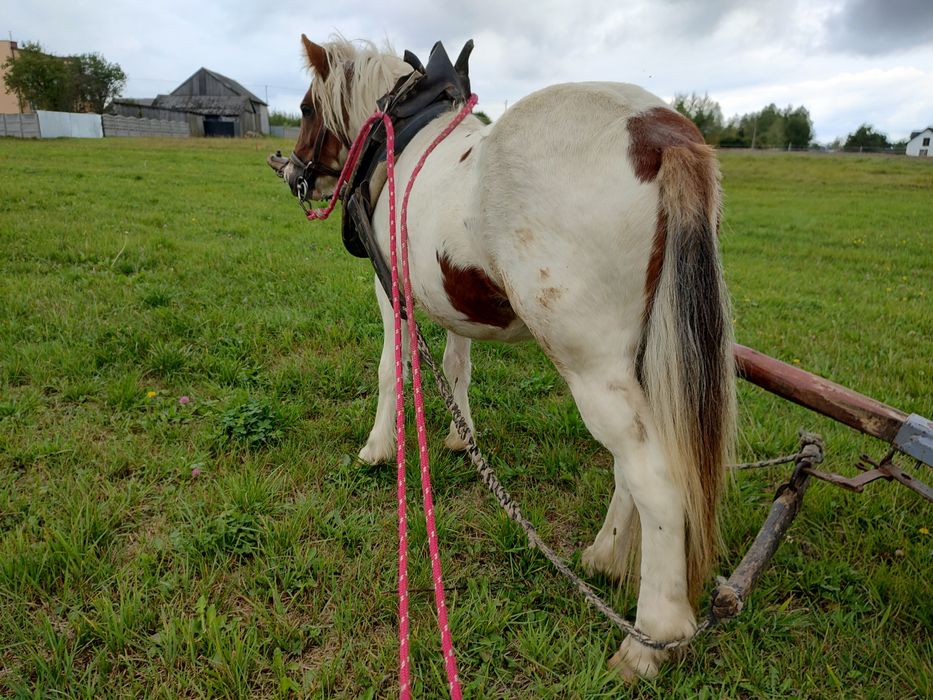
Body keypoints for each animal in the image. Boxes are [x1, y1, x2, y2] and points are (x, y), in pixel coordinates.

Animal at [270, 34, 736, 680]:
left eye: (307, 107)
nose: (293, 171)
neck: (398, 132)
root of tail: (660, 134)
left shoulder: (392, 292)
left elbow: (392, 370)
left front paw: (377, 449)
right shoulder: (451, 302)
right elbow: (456, 367)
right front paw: (459, 437)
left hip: (592, 364)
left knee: (654, 475)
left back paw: (650, 640)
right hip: (640, 354)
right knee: (635, 462)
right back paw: (607, 556)